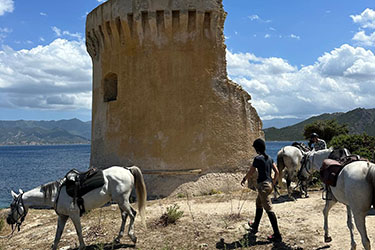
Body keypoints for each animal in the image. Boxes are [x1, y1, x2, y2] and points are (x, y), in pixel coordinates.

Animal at [6, 166, 147, 250]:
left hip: (123, 201)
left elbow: (78, 231)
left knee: (133, 214)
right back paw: (118, 238)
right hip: (120, 201)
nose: (8, 220)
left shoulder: (74, 215)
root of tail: (127, 169)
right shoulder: (62, 217)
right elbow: (57, 235)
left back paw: (132, 237)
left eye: (12, 205)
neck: (56, 193)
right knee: (124, 216)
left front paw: (82, 246)